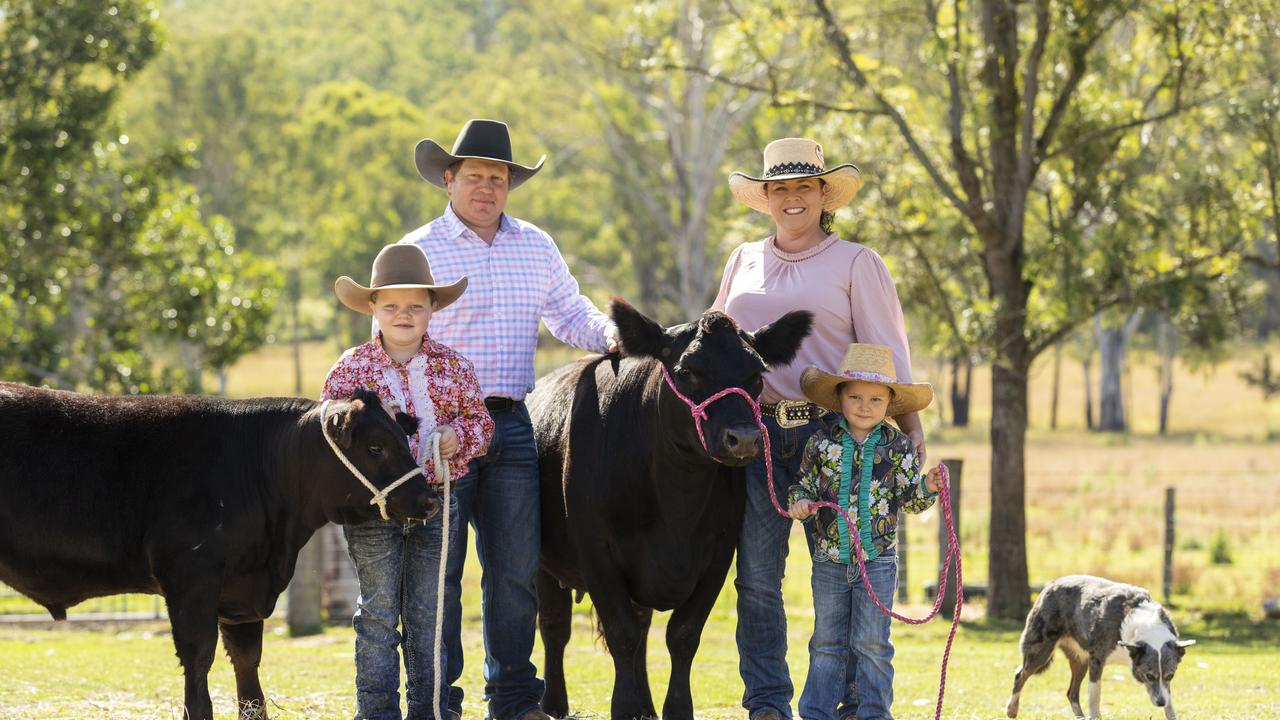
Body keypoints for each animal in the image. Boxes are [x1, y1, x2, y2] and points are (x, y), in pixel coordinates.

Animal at [0, 384, 437, 717]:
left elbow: (249, 676)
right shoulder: (191, 577)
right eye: (376, 447)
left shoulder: (240, 594)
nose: (429, 500)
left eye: (405, 439)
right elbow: (198, 665)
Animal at [527, 298, 808, 717]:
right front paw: (624, 707)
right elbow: (622, 633)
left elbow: (682, 634)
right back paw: (554, 703)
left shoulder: (719, 551)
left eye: (757, 373)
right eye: (686, 371)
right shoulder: (595, 551)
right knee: (555, 626)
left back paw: (645, 704)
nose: (743, 439)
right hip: (544, 562)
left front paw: (673, 708)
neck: (676, 506)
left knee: (641, 626)